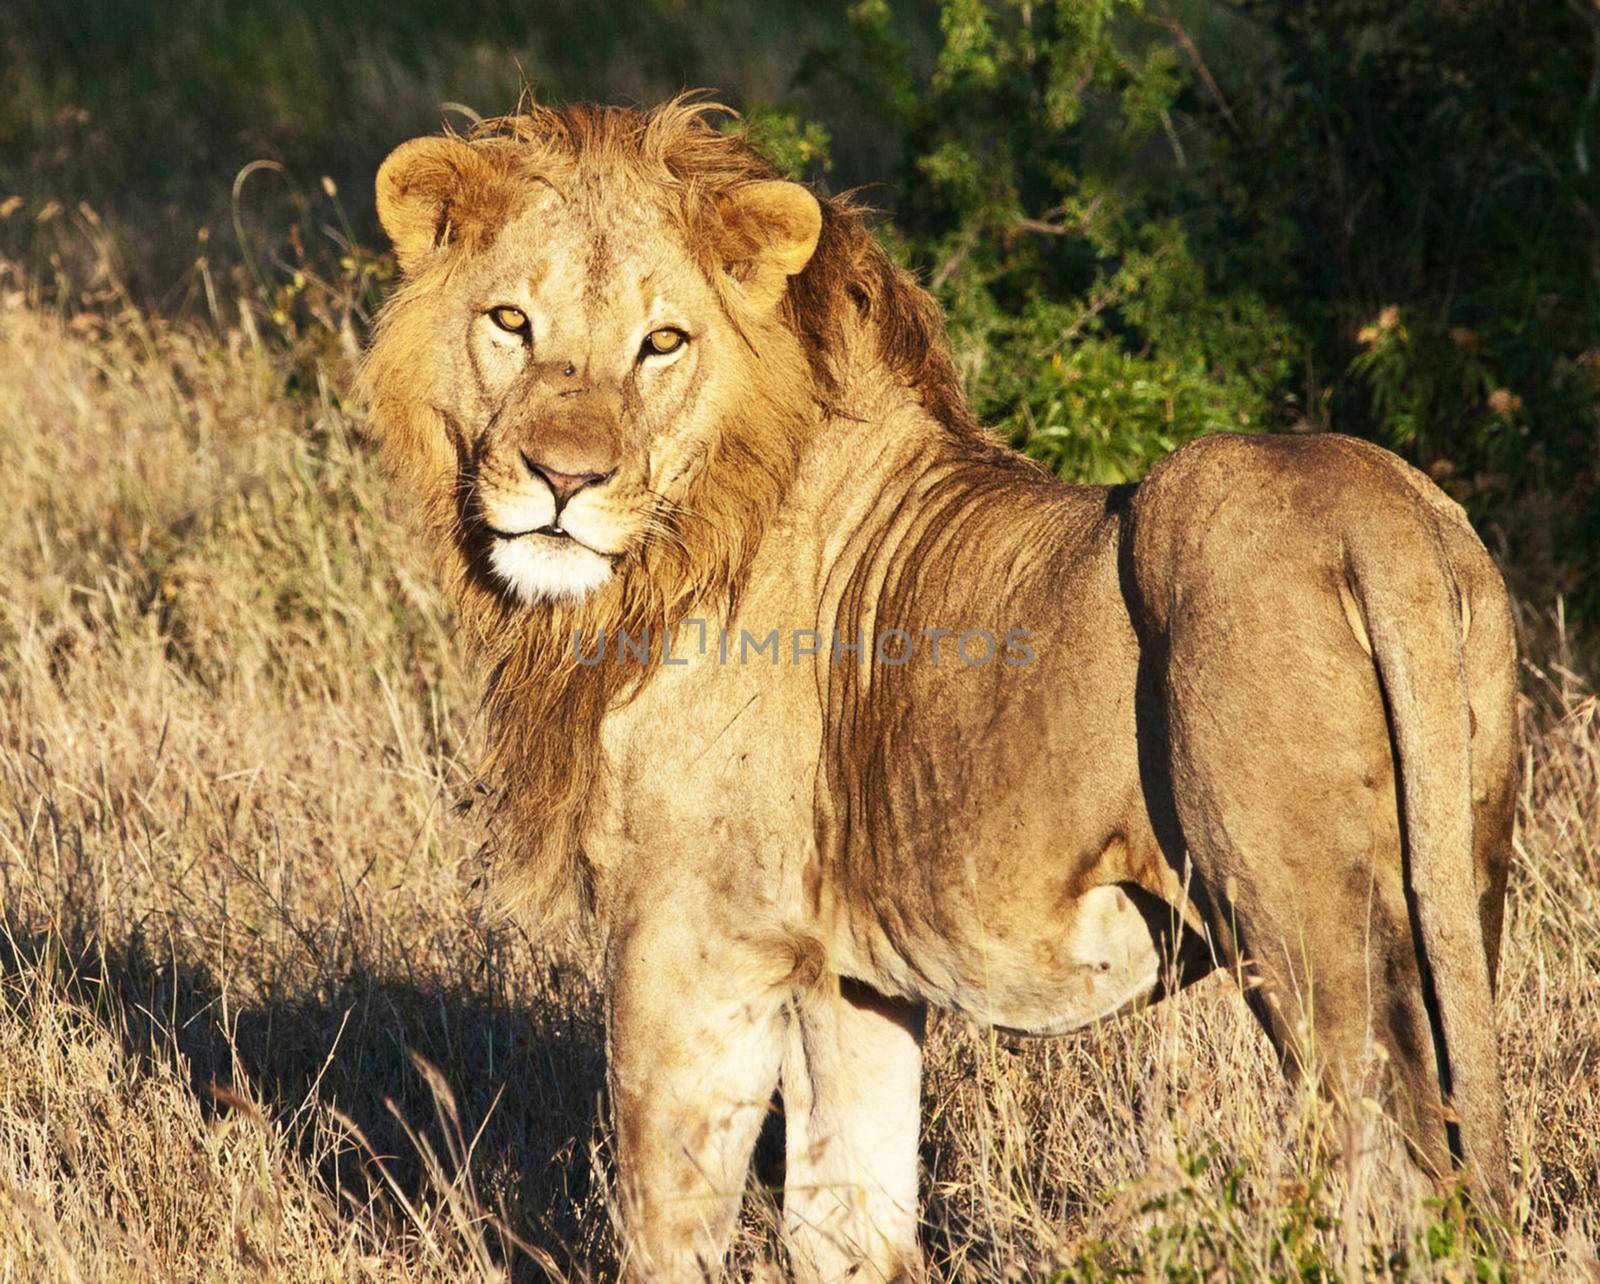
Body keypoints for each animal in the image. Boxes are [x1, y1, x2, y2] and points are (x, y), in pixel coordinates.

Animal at [360, 95, 1510, 1274]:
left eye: (663, 342)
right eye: (509, 322)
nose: (563, 479)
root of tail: (1379, 510)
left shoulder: (696, 941)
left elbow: (669, 1224)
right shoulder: (847, 977)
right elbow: (847, 1225)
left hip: (1300, 916)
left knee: (1397, 1162)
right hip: (1462, 890)